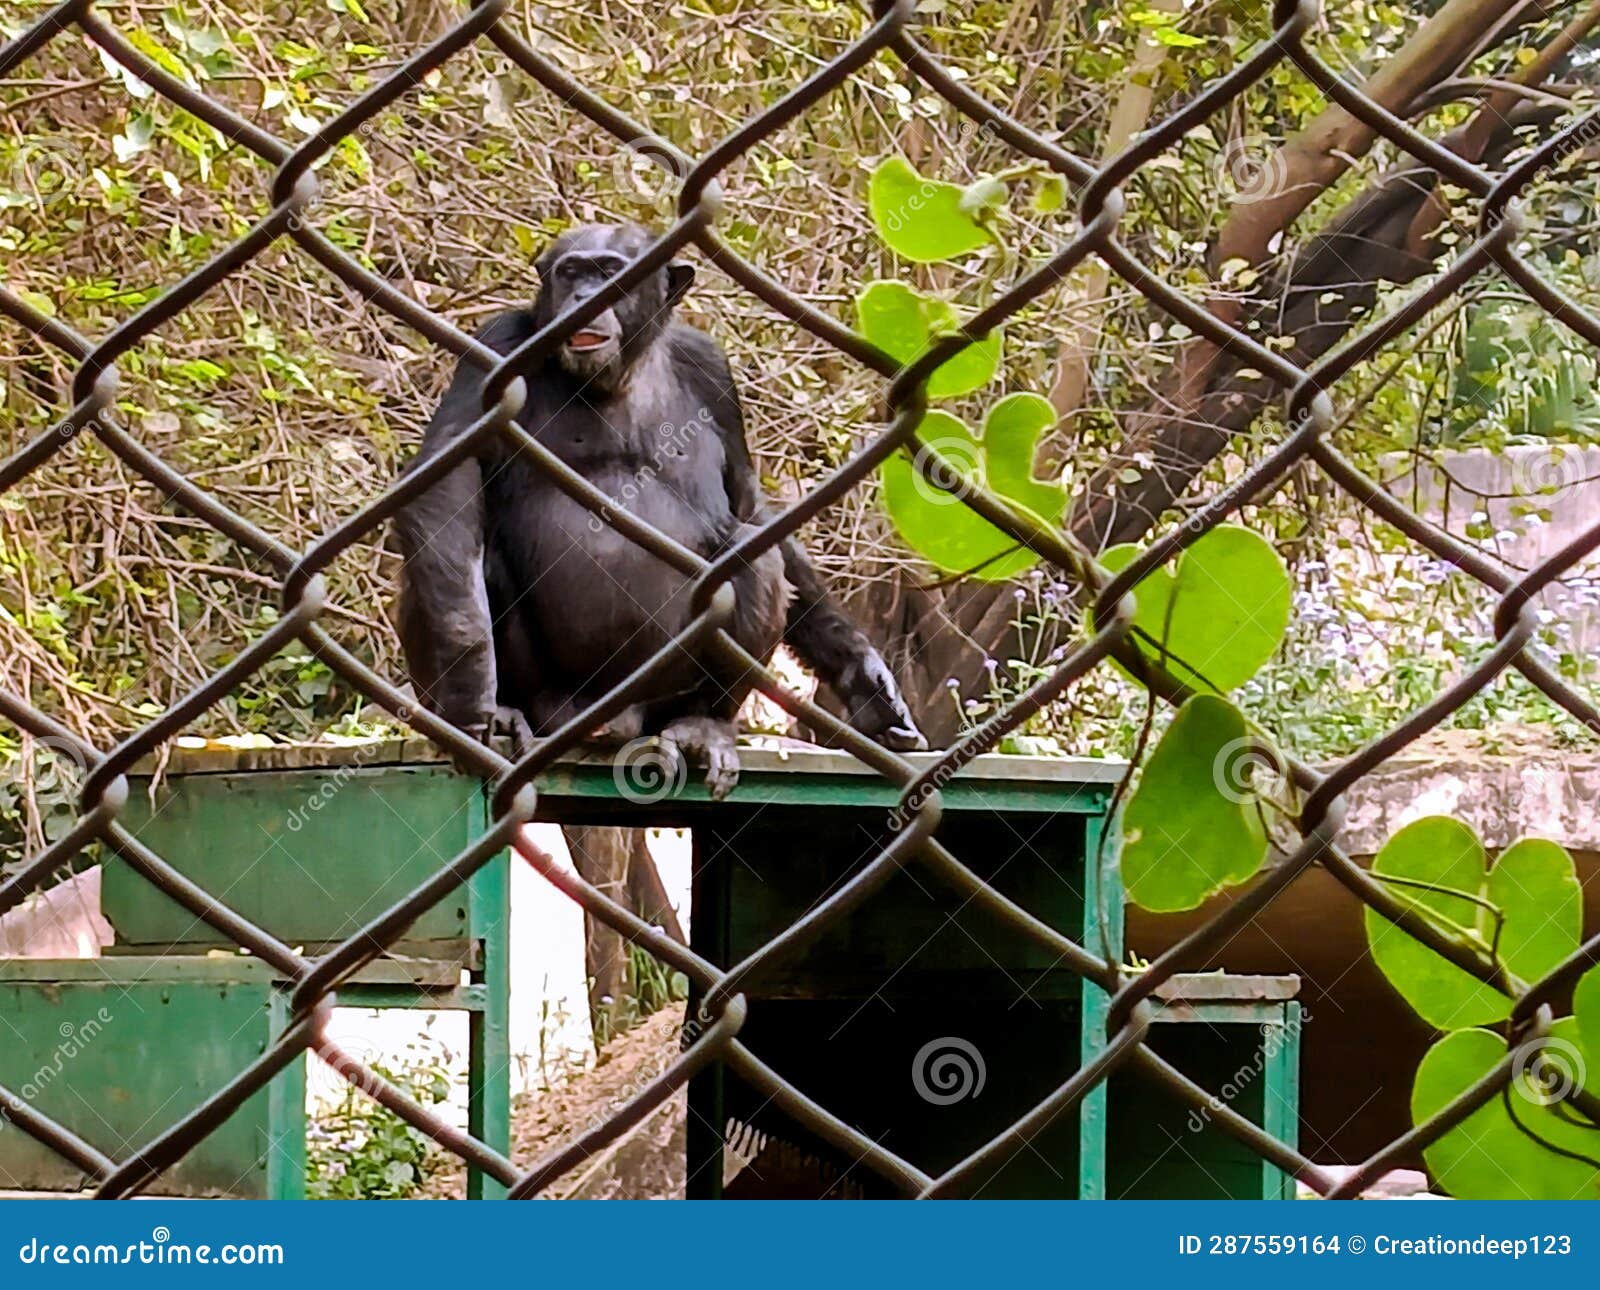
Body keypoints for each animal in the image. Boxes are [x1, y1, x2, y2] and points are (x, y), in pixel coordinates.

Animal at [394, 222, 924, 798]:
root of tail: (611, 718)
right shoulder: (499, 344)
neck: (622, 372)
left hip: (654, 699)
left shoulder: (712, 368)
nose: (583, 298)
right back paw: (510, 709)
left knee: (749, 554)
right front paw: (468, 685)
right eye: (571, 272)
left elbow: (751, 507)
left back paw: (702, 725)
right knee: (473, 551)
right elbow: (447, 475)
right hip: (555, 697)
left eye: (610, 274)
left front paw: (866, 677)